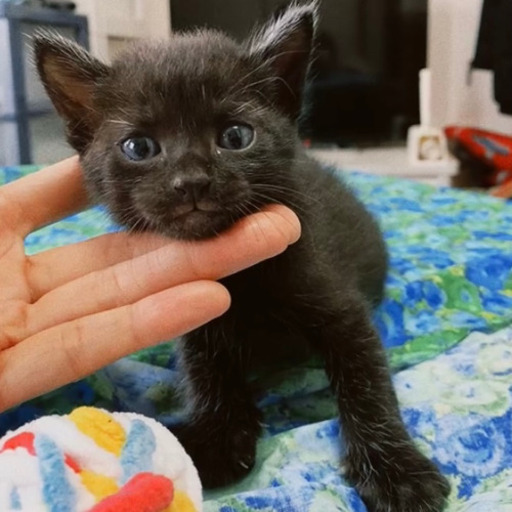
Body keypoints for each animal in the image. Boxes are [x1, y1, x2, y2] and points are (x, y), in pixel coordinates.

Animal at [35, 3, 448, 508]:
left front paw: (397, 471)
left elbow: (368, 382)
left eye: (235, 136)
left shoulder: (342, 307)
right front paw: (215, 443)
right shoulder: (195, 321)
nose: (192, 181)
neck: (239, 278)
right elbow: (209, 377)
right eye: (139, 146)